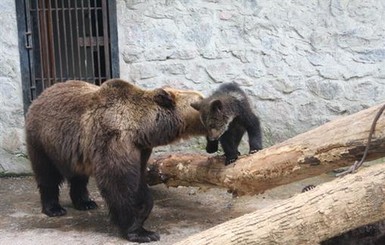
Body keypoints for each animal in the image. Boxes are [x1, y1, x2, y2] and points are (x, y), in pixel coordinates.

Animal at [23, 79, 202, 243]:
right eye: (200, 99)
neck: (141, 129)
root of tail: (41, 94)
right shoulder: (114, 140)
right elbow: (119, 183)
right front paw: (142, 232)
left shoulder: (141, 150)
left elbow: (138, 180)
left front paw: (144, 209)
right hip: (43, 141)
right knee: (47, 174)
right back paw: (54, 208)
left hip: (74, 150)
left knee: (78, 177)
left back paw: (85, 202)